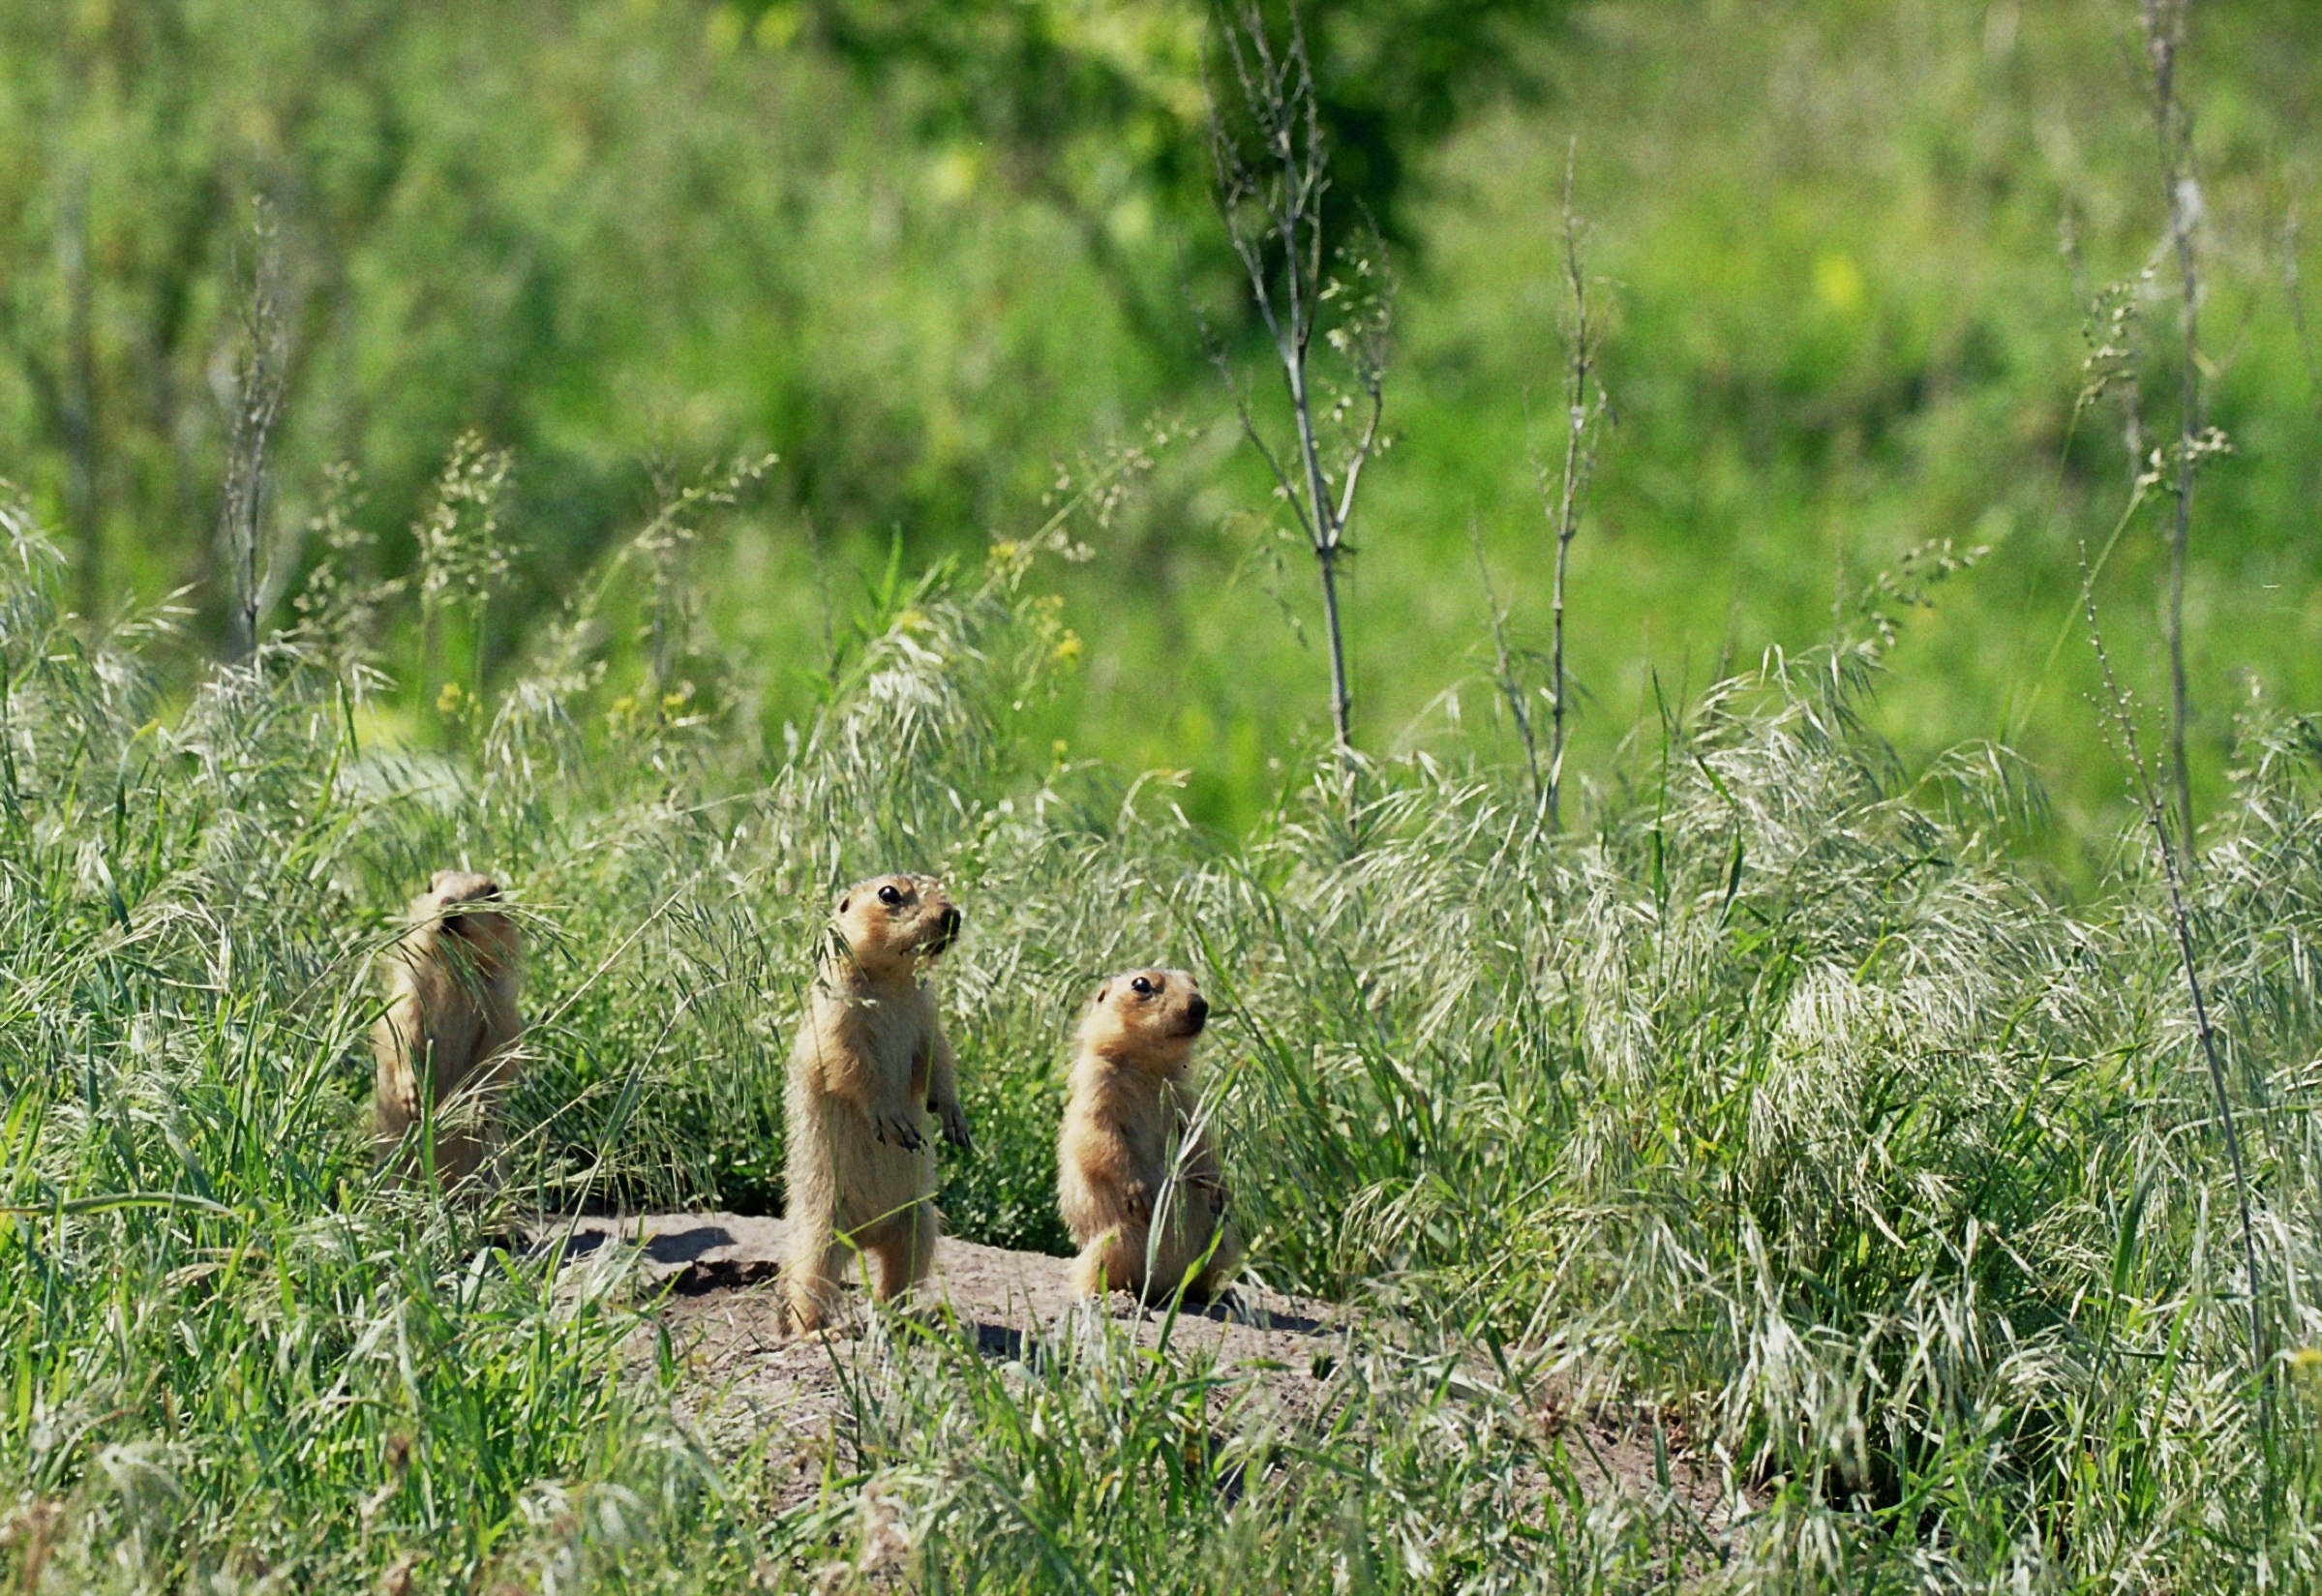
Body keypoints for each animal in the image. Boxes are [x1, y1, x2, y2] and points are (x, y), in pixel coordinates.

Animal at [369, 868, 525, 1189]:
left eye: (493, 892)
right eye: (430, 886)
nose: (451, 903)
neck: (454, 970)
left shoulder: (502, 1006)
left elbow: (502, 1050)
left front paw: (480, 1108)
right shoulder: (408, 992)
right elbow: (400, 1032)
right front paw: (412, 1094)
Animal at [775, 873, 965, 1338]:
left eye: (941, 885)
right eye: (889, 894)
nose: (952, 915)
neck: (891, 983)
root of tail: (865, 1237)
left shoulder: (927, 1017)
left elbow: (937, 1060)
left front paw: (954, 1118)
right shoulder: (837, 1017)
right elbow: (850, 1066)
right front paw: (893, 1119)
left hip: (918, 1226)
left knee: (896, 1280)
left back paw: (906, 1317)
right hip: (821, 1235)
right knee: (808, 1287)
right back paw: (820, 1331)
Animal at [1063, 966, 1244, 1301]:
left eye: (1194, 981)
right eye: (1141, 985)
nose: (1200, 1005)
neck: (1148, 1067)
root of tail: (1165, 1285)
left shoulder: (1186, 1096)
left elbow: (1201, 1139)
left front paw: (1219, 1189)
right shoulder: (1096, 1087)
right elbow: (1099, 1135)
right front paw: (1138, 1191)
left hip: (1222, 1241)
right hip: (1115, 1241)